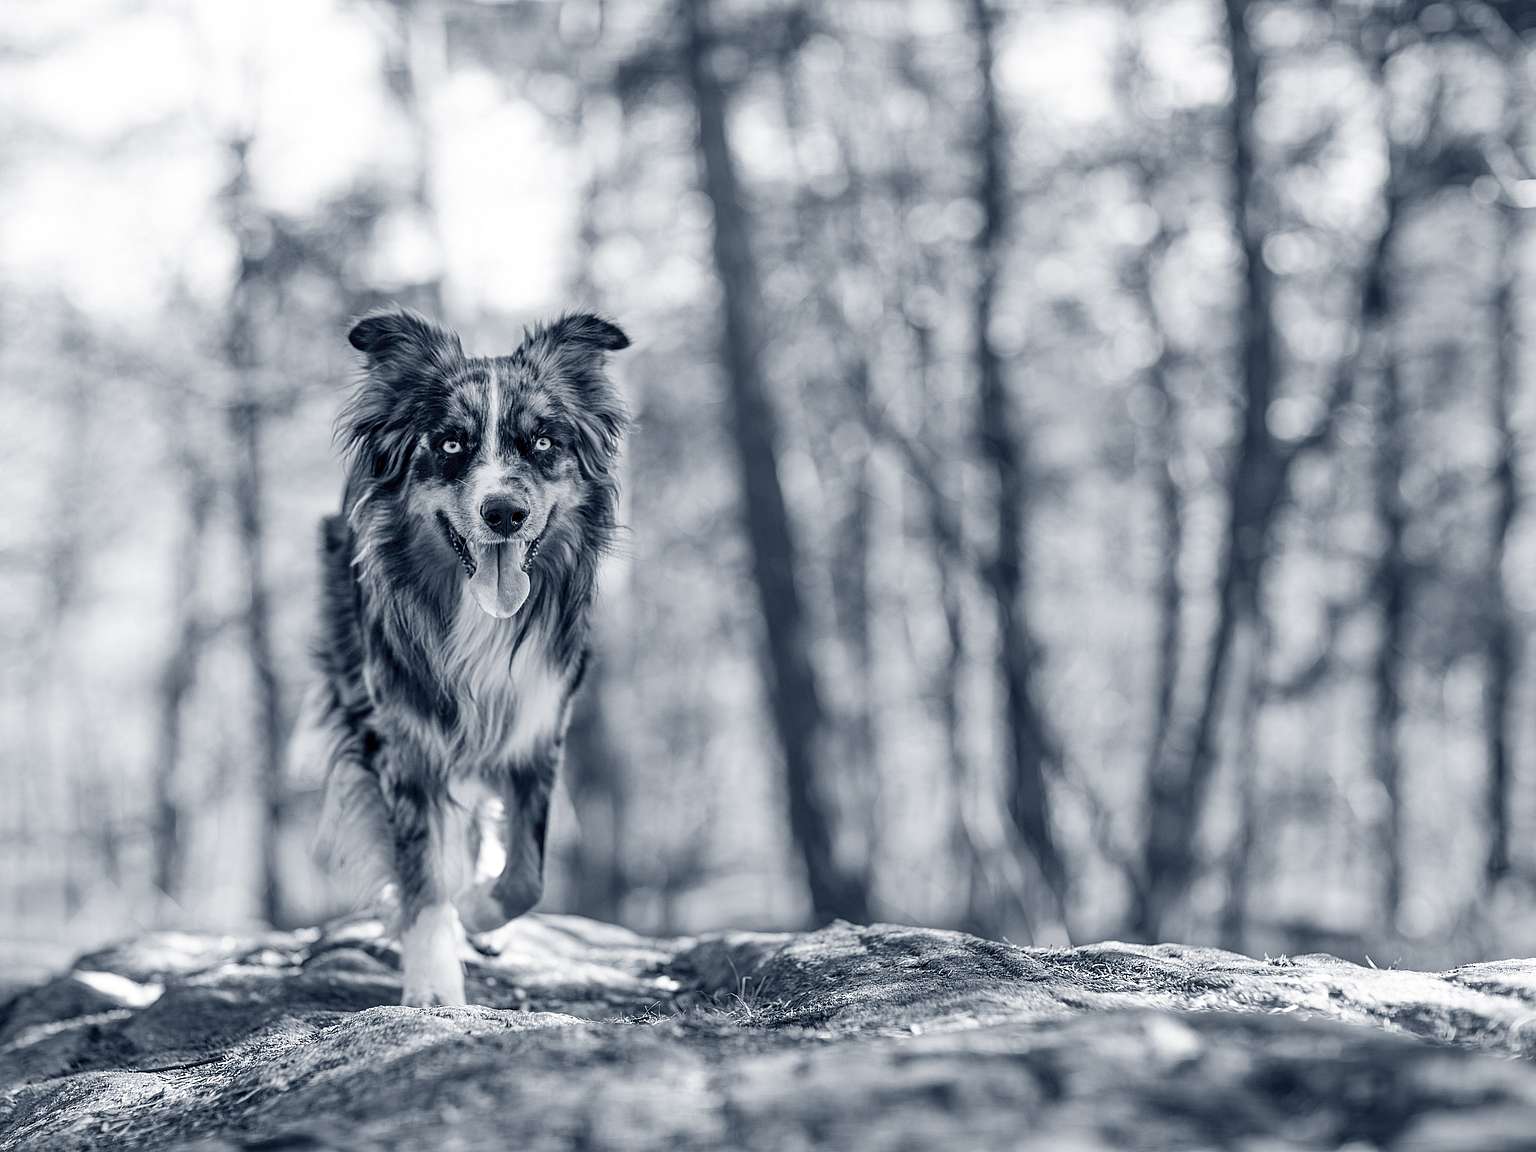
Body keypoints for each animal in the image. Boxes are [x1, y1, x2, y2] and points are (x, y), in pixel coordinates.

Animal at [293, 311, 629, 1007]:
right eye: (450, 445)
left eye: (543, 442)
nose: (504, 513)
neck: (479, 614)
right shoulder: (401, 739)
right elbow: (423, 871)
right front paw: (432, 982)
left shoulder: (537, 724)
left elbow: (527, 874)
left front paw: (477, 908)